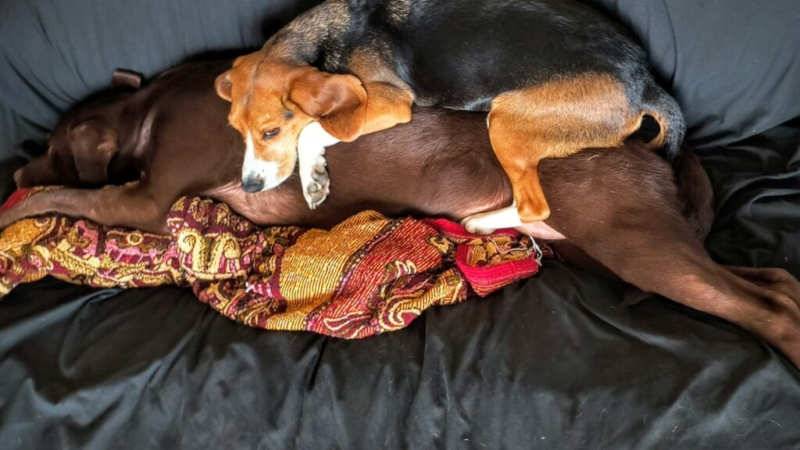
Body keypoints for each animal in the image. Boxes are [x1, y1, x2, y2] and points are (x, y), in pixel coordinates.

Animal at [216, 0, 684, 232]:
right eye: (236, 131)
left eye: (271, 131)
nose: (249, 186)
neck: (327, 33)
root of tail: (644, 81)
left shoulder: (390, 103)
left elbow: (316, 127)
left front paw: (312, 175)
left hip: (506, 122)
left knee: (535, 208)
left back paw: (481, 224)